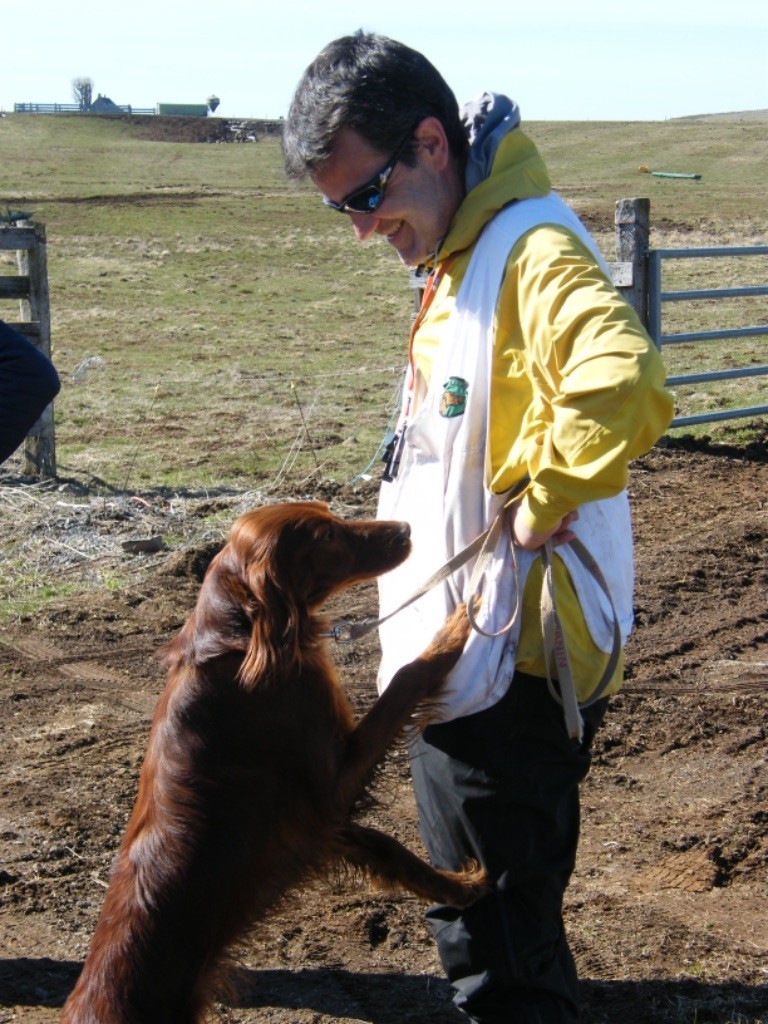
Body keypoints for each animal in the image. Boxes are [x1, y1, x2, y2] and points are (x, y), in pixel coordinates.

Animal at [63, 499, 489, 1019]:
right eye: (325, 537)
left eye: (330, 515)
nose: (405, 528)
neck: (241, 641)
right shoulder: (331, 785)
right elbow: (408, 676)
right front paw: (458, 624)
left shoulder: (316, 822)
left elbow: (389, 849)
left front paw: (461, 887)